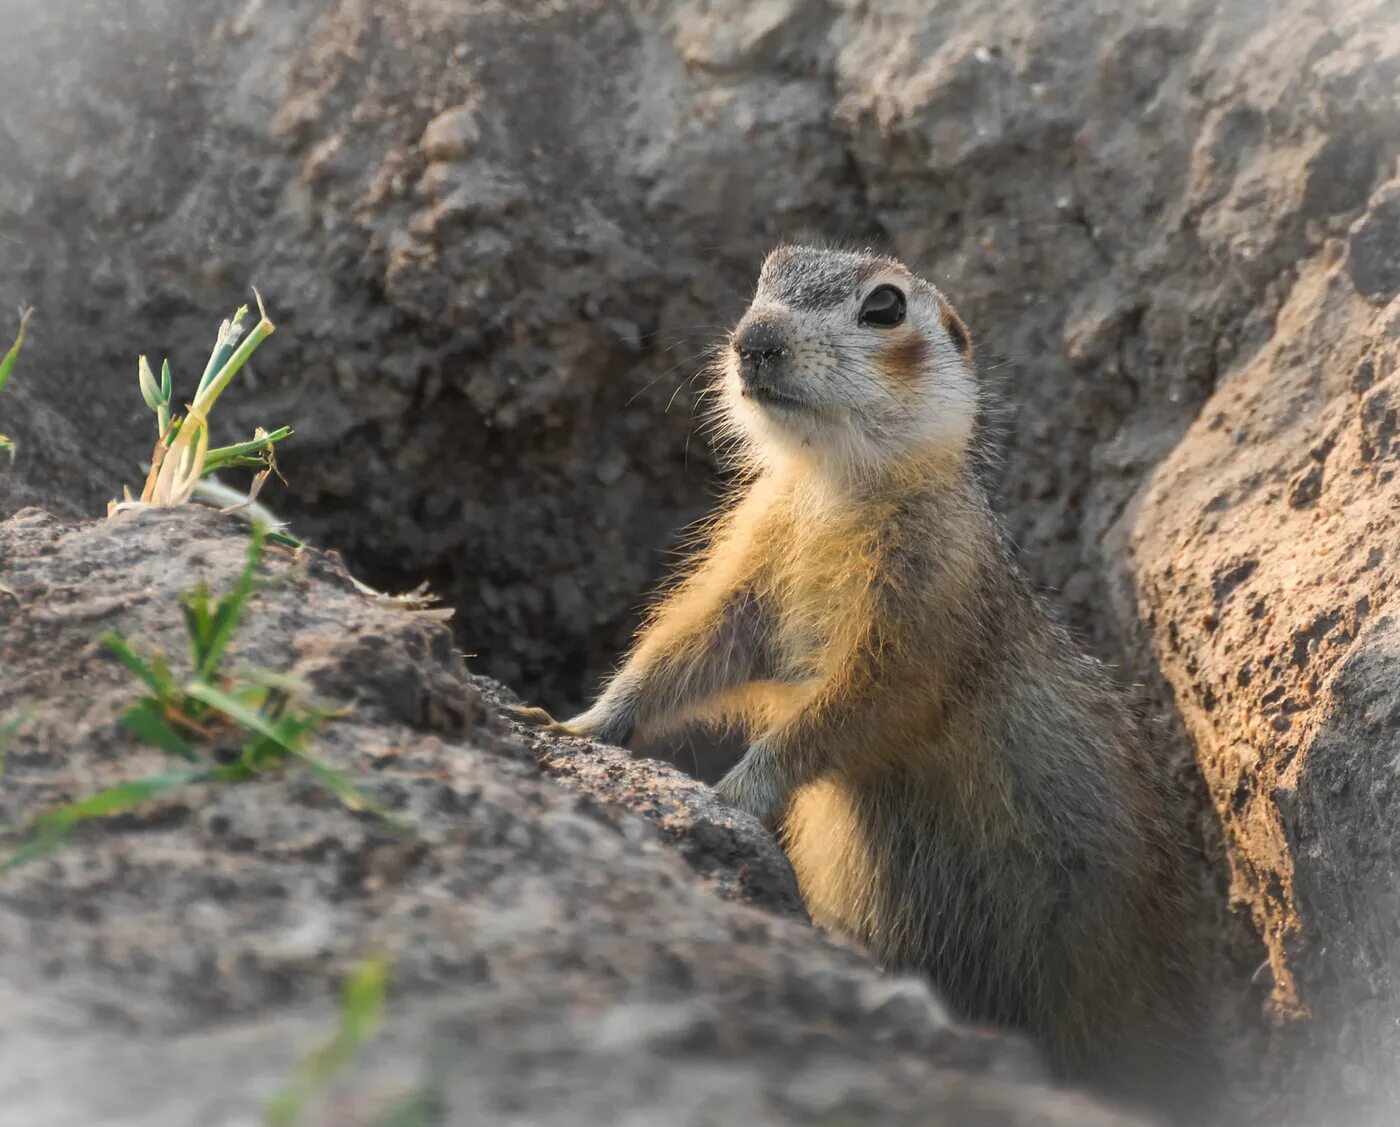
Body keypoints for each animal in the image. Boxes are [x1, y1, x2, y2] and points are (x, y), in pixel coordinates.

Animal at [515, 246, 1204, 1097]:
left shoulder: (917, 605)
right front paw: (575, 720)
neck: (831, 483)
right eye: (766, 275)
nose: (754, 341)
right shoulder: (751, 567)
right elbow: (687, 647)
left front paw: (732, 793)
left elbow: (849, 707)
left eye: (884, 307)